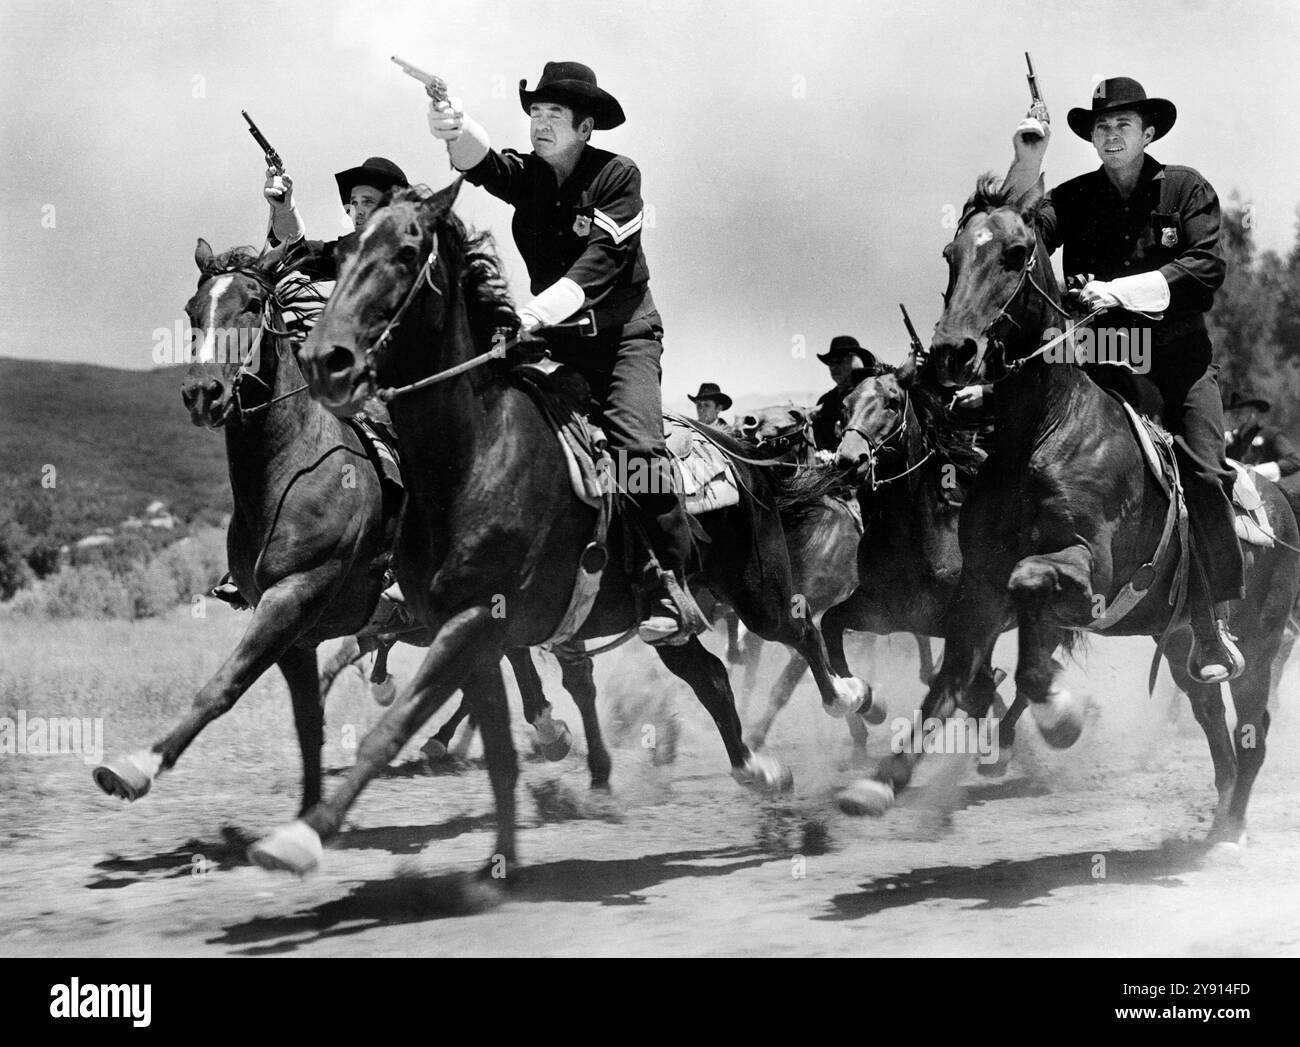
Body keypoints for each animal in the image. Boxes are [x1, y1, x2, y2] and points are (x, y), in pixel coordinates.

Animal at [246, 183, 868, 879]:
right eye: (341, 251)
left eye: (408, 252)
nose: (324, 359)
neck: (476, 454)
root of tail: (735, 449)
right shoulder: (466, 632)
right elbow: (493, 742)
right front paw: (499, 858)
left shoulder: (473, 622)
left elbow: (398, 725)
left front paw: (304, 834)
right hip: (664, 617)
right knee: (707, 673)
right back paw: (756, 767)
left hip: (756, 594)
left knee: (801, 628)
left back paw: (848, 698)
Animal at [842, 175, 1300, 848]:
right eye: (951, 255)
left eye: (1014, 254)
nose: (952, 352)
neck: (1042, 433)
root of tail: (1281, 505)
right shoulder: (979, 590)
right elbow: (952, 680)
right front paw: (881, 781)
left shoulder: (1089, 570)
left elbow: (1030, 592)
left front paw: (1060, 716)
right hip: (1184, 649)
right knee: (1214, 723)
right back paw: (1219, 815)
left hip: (1261, 647)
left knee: (1253, 730)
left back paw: (1231, 829)